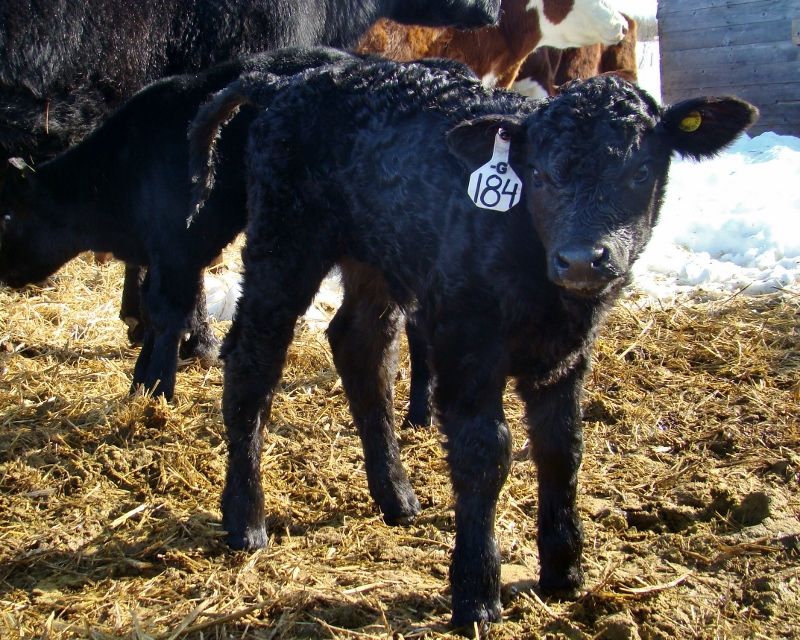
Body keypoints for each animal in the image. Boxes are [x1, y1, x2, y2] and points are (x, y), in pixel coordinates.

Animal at [187, 53, 756, 628]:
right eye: (538, 174)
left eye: (640, 172)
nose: (580, 260)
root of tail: (285, 82)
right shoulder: (464, 341)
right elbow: (485, 453)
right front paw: (477, 592)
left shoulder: (568, 354)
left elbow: (563, 447)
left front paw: (565, 570)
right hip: (284, 242)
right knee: (253, 358)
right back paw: (245, 519)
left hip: (376, 255)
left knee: (360, 345)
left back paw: (396, 497)